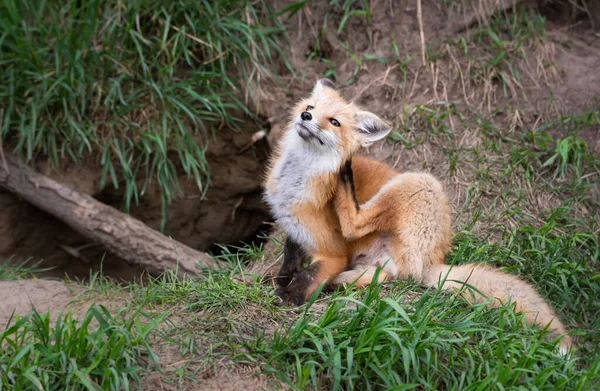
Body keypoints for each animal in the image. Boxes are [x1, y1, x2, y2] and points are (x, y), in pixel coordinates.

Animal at [264, 78, 576, 356]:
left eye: (334, 122)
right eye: (310, 107)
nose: (305, 116)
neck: (294, 183)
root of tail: (435, 259)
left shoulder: (333, 251)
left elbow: (309, 274)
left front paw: (290, 296)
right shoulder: (295, 231)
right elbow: (289, 261)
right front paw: (281, 281)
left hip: (418, 182)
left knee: (356, 228)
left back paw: (345, 175)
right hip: (380, 256)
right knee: (382, 276)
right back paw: (337, 283)